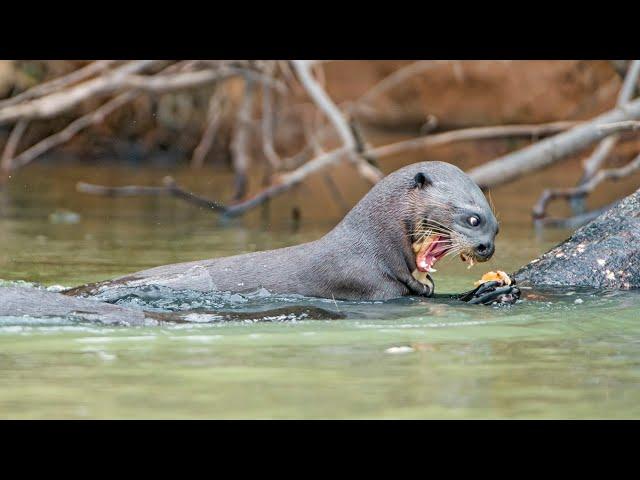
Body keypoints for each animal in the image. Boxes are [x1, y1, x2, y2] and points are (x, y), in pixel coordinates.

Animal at [67, 163, 502, 302]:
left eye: (496, 228)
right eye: (473, 219)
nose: (486, 248)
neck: (370, 247)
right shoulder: (369, 285)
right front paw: (484, 292)